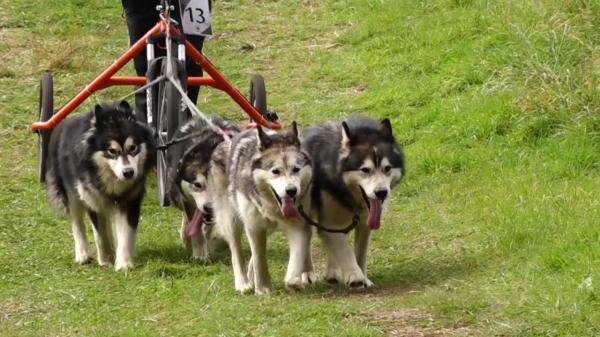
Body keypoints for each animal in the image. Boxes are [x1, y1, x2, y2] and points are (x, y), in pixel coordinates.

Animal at [302, 116, 406, 288]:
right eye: (365, 170)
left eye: (387, 168)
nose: (381, 192)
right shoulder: (329, 222)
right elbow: (344, 249)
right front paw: (354, 275)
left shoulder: (364, 223)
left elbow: (359, 252)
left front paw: (363, 277)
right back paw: (307, 274)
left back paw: (332, 272)